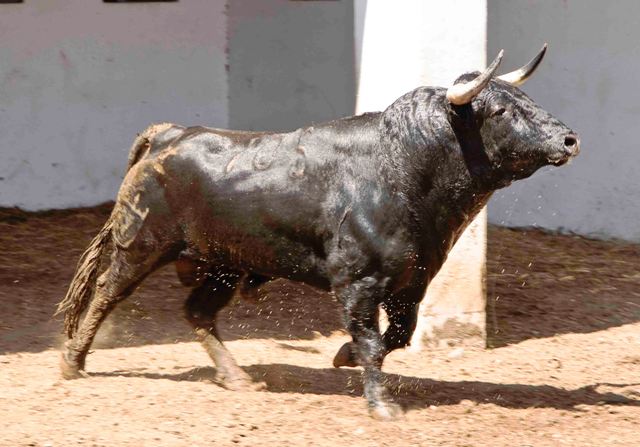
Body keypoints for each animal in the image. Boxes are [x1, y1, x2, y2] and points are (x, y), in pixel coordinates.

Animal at [57, 49, 580, 420]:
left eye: (528, 101)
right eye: (500, 110)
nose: (569, 139)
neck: (402, 168)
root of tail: (169, 135)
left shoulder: (412, 283)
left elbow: (398, 335)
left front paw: (343, 358)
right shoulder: (356, 283)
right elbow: (372, 340)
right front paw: (382, 405)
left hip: (224, 265)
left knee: (199, 312)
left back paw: (238, 379)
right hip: (141, 245)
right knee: (106, 293)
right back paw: (72, 363)